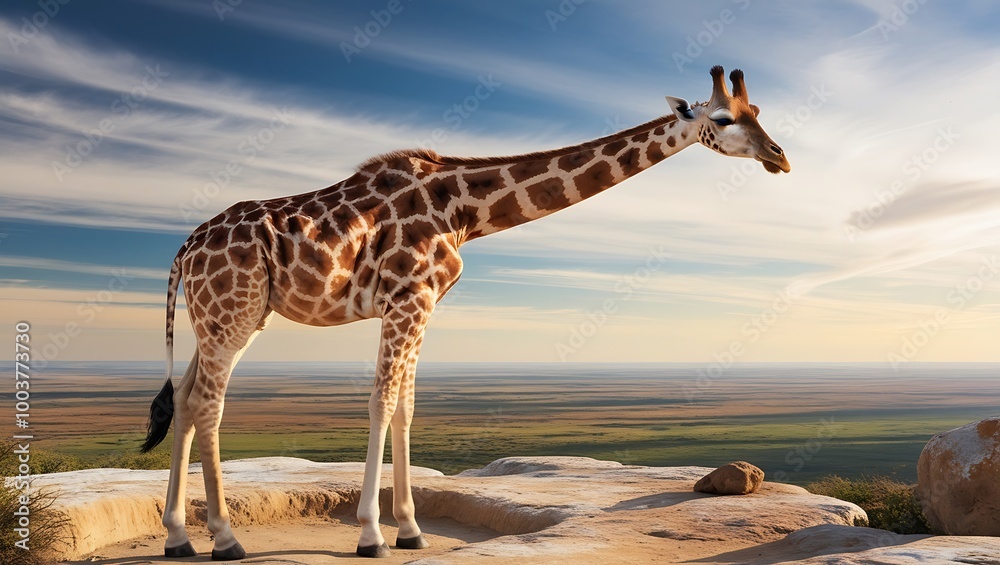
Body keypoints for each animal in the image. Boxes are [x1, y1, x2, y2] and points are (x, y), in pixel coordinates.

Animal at [141, 65, 790, 560]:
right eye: (724, 119)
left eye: (758, 111)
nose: (780, 157)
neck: (463, 210)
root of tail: (183, 250)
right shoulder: (407, 297)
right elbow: (382, 404)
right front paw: (371, 535)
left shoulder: (422, 304)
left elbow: (405, 408)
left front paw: (410, 530)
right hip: (231, 312)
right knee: (208, 404)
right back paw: (224, 540)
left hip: (230, 317)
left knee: (188, 398)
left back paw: (178, 537)